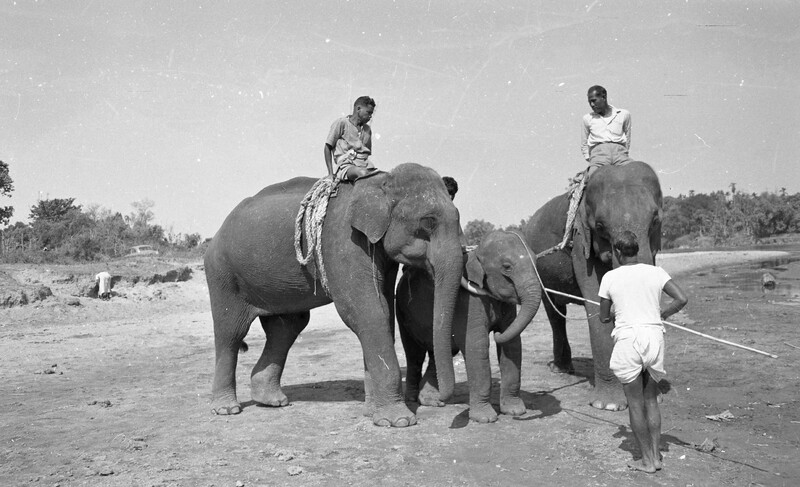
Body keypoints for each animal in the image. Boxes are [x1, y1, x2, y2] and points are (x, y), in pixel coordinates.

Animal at [204, 163, 464, 427]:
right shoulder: (343, 242)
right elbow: (364, 312)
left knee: (286, 328)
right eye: (428, 222)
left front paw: (372, 413)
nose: (441, 400)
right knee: (232, 332)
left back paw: (271, 401)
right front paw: (398, 421)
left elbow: (383, 310)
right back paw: (227, 409)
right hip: (222, 274)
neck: (380, 180)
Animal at [396, 230, 542, 423]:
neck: (476, 253)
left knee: (438, 352)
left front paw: (515, 412)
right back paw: (414, 398)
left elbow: (512, 344)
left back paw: (432, 399)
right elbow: (476, 346)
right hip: (401, 311)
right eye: (507, 267)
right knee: (414, 354)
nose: (495, 333)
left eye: (536, 260)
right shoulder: (468, 302)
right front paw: (485, 419)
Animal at [522, 161, 662, 411]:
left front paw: (652, 394)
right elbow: (598, 304)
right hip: (538, 270)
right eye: (600, 226)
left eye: (655, 220)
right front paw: (609, 406)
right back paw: (560, 369)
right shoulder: (580, 243)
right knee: (554, 312)